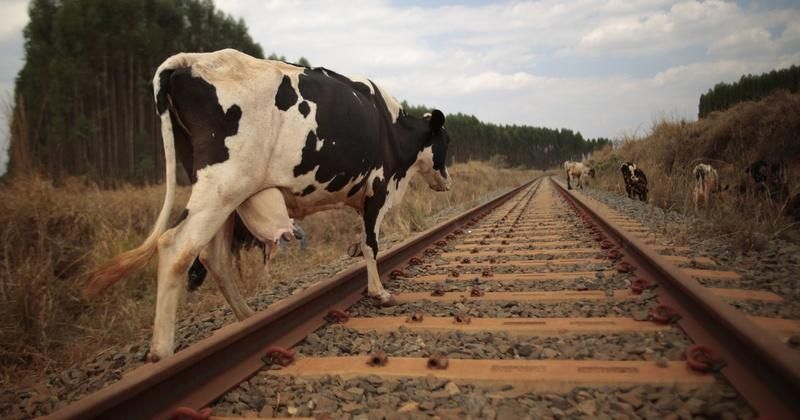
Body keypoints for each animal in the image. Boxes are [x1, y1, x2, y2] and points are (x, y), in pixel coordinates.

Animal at [84, 49, 452, 361]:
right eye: (446, 142)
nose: (447, 180)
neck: (390, 125)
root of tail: (190, 60)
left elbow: (362, 241)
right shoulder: (378, 188)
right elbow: (372, 245)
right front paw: (379, 293)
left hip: (224, 192)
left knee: (214, 256)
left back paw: (249, 321)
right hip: (223, 184)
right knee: (177, 247)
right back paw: (162, 352)